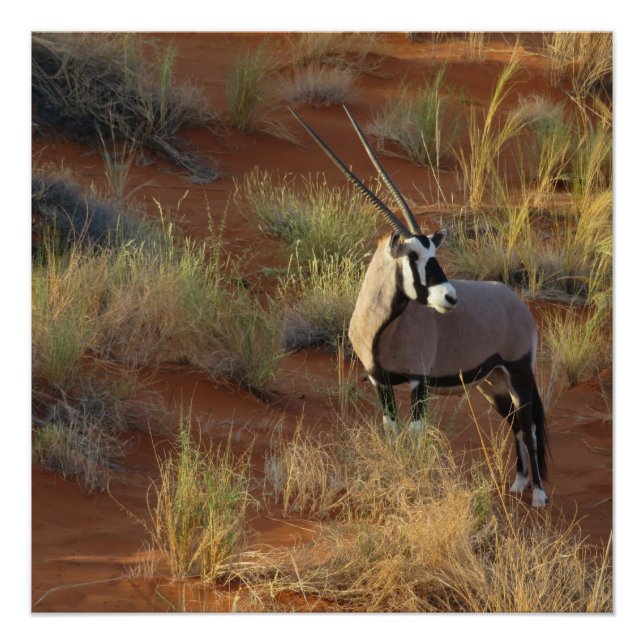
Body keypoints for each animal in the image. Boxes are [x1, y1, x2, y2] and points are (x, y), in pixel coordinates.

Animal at [290, 106, 550, 508]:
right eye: (413, 255)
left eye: (433, 253)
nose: (450, 297)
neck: (381, 329)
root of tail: (518, 306)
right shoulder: (379, 382)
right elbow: (391, 430)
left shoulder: (420, 382)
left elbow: (415, 434)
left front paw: (417, 483)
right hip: (492, 381)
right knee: (515, 424)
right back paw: (519, 483)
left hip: (519, 372)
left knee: (529, 424)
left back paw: (538, 493)